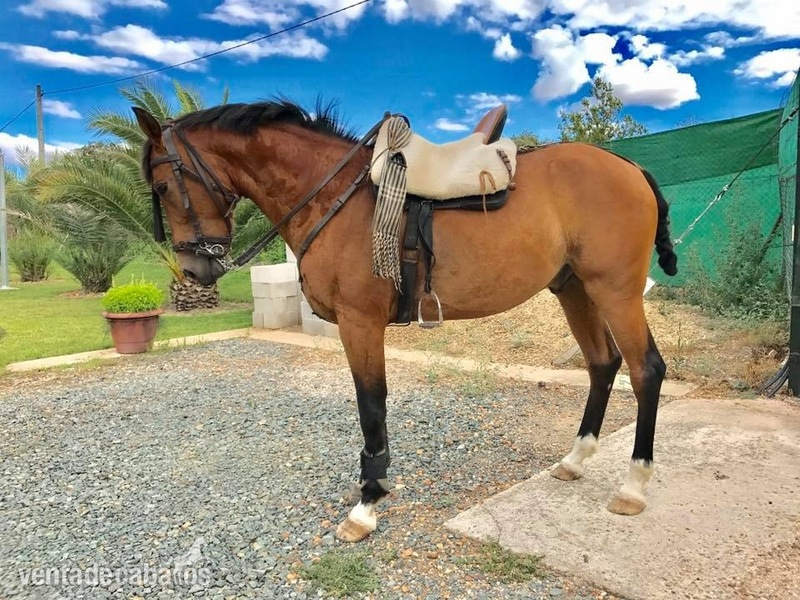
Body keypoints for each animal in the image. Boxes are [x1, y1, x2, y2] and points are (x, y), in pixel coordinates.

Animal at [133, 99, 678, 543]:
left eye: (162, 185)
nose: (195, 269)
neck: (334, 194)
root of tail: (630, 167)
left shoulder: (359, 323)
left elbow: (371, 406)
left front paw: (368, 502)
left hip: (614, 291)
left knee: (645, 370)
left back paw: (634, 485)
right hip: (574, 289)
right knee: (602, 365)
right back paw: (575, 459)